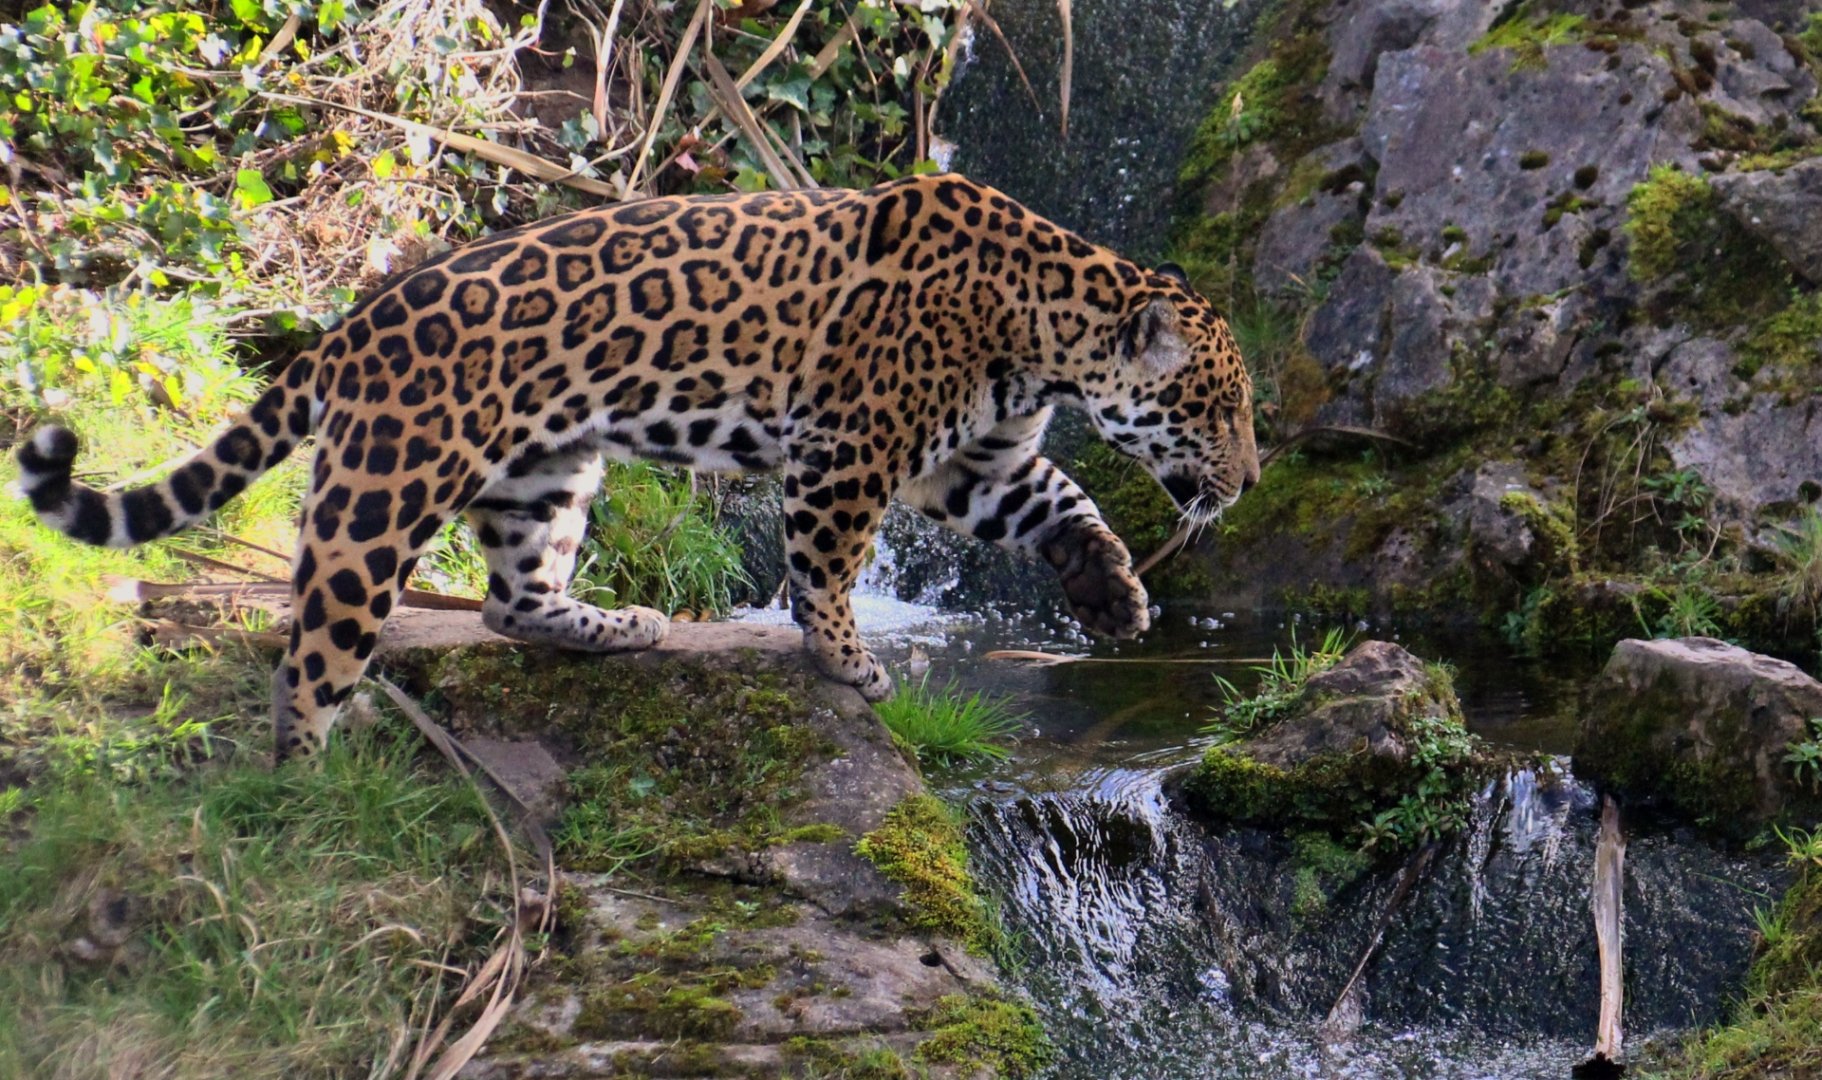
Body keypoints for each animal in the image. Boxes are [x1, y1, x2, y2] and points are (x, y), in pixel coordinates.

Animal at [17, 173, 1259, 762]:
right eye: (1218, 406)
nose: (1248, 480)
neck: (1046, 331)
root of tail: (353, 326)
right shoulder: (849, 450)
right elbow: (826, 566)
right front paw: (847, 661)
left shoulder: (973, 465)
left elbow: (1063, 502)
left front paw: (1114, 595)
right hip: (384, 490)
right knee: (314, 647)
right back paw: (307, 783)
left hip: (549, 469)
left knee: (512, 600)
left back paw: (615, 626)